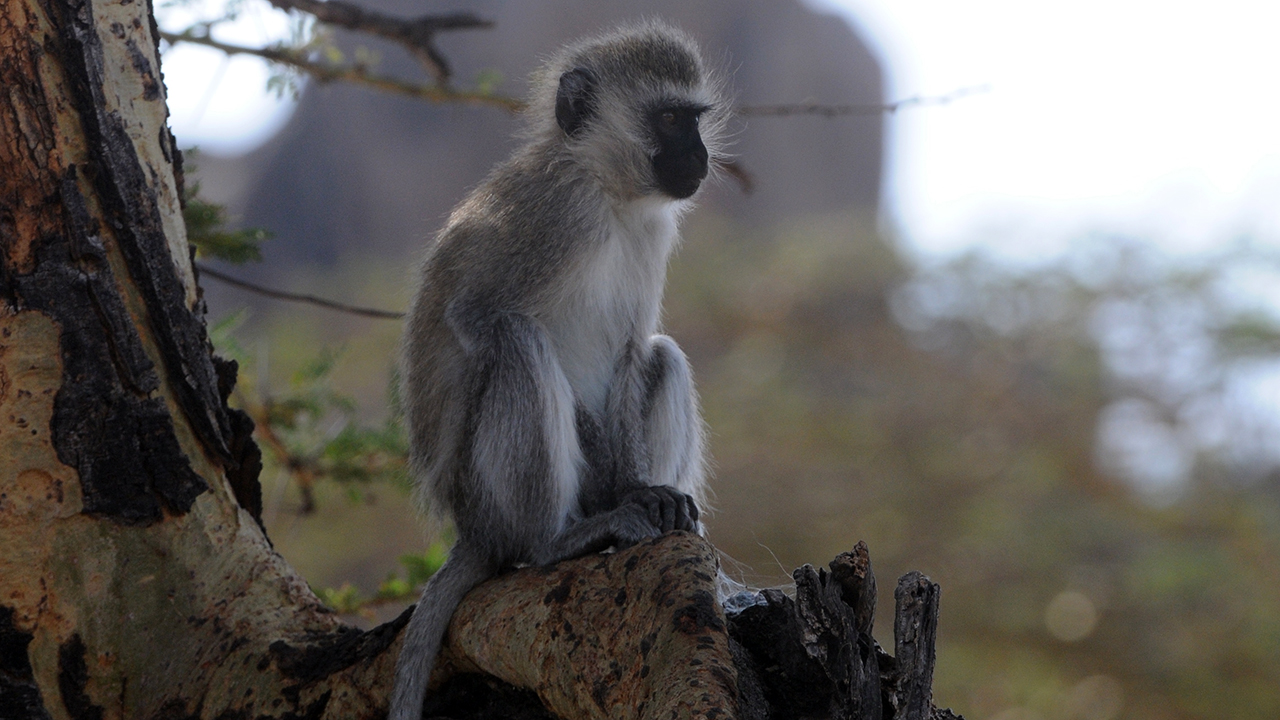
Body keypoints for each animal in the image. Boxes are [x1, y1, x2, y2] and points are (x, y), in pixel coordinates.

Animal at [390, 21, 728, 720]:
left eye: (695, 118)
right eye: (671, 118)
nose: (701, 156)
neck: (606, 191)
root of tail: (472, 529)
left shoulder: (651, 232)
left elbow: (632, 351)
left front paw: (640, 487)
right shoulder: (551, 216)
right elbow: (475, 317)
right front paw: (624, 492)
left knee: (663, 354)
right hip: (487, 494)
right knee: (516, 341)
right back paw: (556, 541)